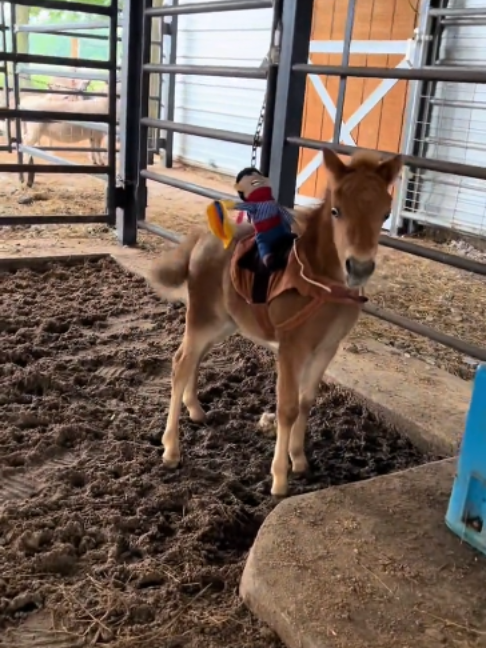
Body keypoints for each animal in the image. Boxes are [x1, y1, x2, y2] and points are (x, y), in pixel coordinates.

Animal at [150, 148, 402, 497]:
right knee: (181, 363)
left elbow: (306, 401)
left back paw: (196, 410)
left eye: (385, 214)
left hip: (224, 324)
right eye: (336, 211)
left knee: (194, 359)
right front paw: (280, 479)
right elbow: (287, 408)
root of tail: (202, 237)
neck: (321, 282)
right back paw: (171, 450)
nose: (360, 267)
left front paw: (300, 461)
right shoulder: (291, 347)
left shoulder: (327, 348)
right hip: (202, 318)